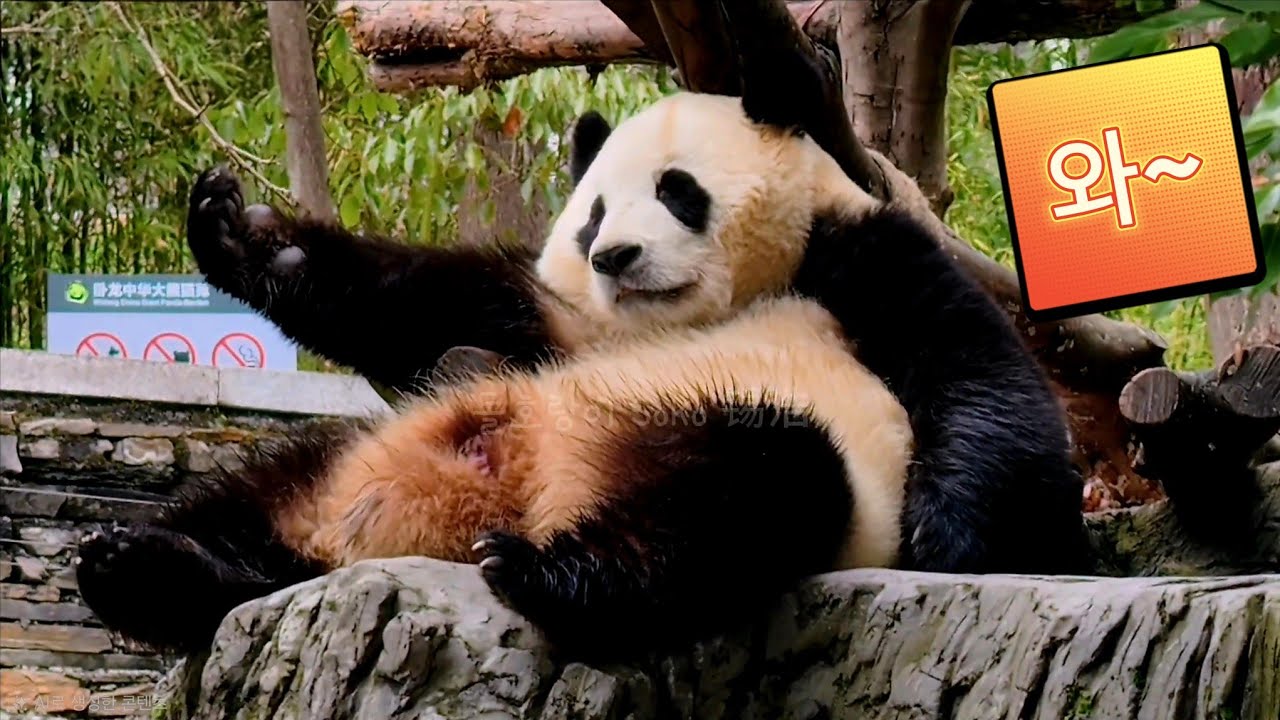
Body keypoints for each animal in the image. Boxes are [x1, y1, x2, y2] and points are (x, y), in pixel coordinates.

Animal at [75, 85, 1088, 657]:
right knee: (256, 507)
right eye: (594, 212)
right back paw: (138, 563)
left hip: (734, 459)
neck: (704, 308)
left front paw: (952, 540)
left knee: (749, 490)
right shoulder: (563, 328)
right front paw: (240, 233)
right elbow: (436, 305)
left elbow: (984, 382)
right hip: (354, 463)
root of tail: (512, 493)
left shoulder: (864, 256)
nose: (616, 257)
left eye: (679, 192)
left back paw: (552, 575)